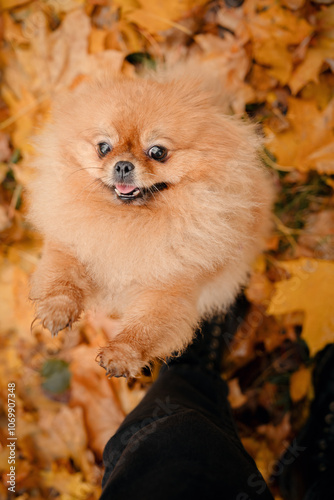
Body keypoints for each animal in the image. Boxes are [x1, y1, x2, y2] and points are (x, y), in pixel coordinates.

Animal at [28, 68, 274, 376]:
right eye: (103, 147)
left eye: (157, 152)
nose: (122, 165)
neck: (130, 222)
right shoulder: (73, 243)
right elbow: (61, 276)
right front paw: (57, 310)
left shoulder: (169, 288)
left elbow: (147, 327)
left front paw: (122, 354)